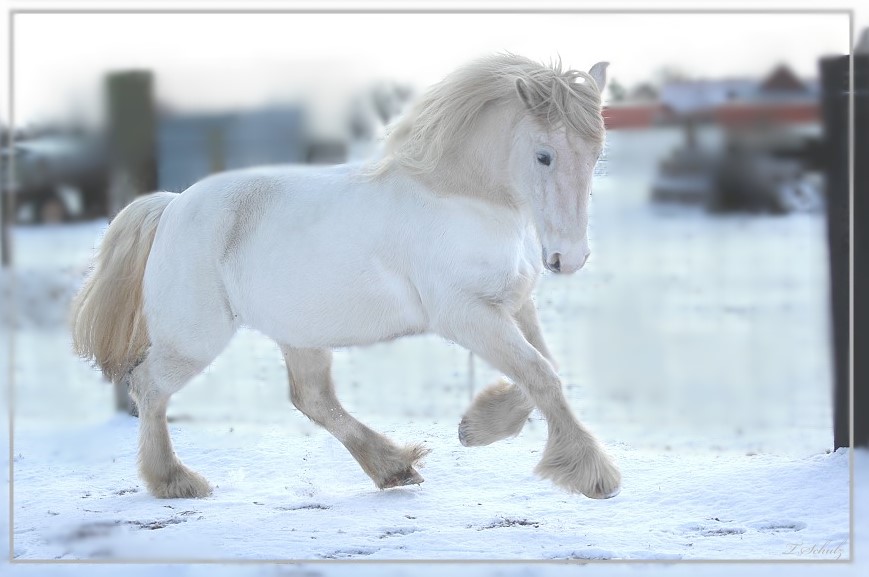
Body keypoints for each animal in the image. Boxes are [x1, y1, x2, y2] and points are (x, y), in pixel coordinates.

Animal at [70, 54, 621, 500]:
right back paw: (175, 481)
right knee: (148, 388)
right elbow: (540, 374)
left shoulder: (513, 305)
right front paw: (594, 476)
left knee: (311, 399)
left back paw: (394, 469)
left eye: (597, 155)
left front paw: (474, 428)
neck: (459, 199)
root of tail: (172, 206)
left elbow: (543, 372)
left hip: (300, 334)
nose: (568, 258)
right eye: (544, 155)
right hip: (194, 341)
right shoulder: (466, 316)